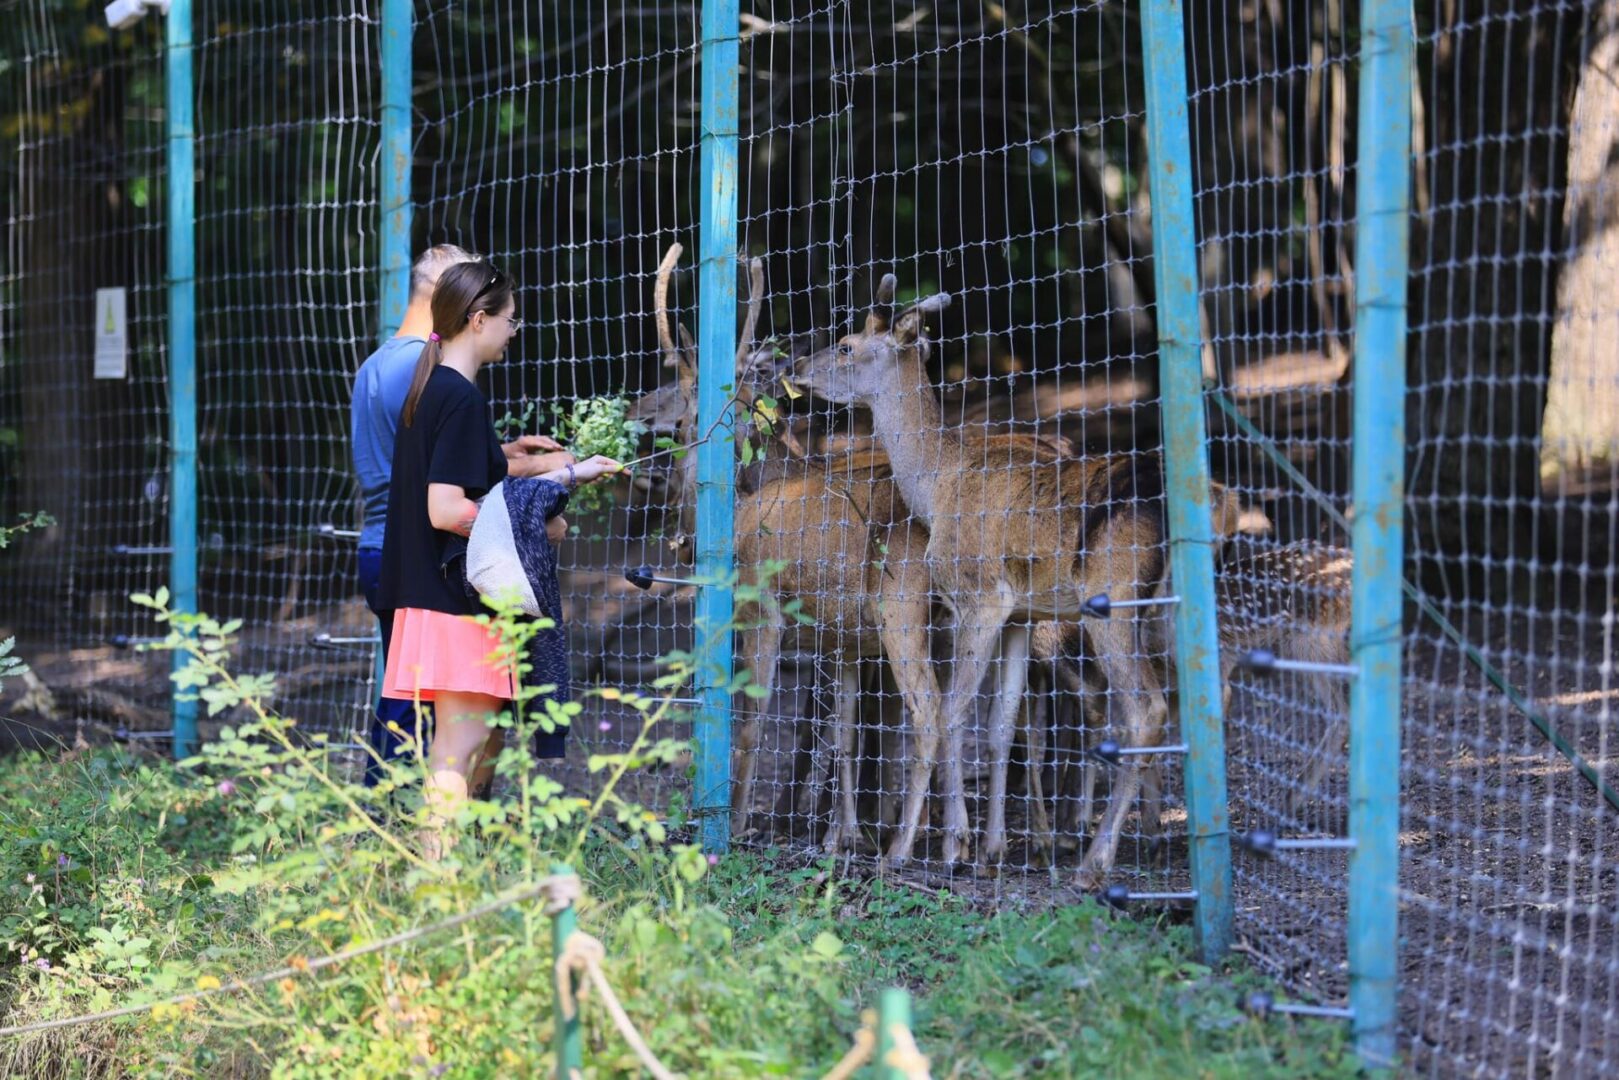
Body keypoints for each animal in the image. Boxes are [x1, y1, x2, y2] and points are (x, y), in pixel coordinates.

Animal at [790, 291, 1243, 880]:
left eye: (846, 345)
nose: (797, 365)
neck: (937, 487)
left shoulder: (980, 596)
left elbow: (950, 712)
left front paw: (935, 846)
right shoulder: (1022, 614)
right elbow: (1003, 724)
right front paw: (991, 849)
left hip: (1115, 600)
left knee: (1146, 709)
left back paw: (1095, 860)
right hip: (1172, 610)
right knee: (1204, 694)